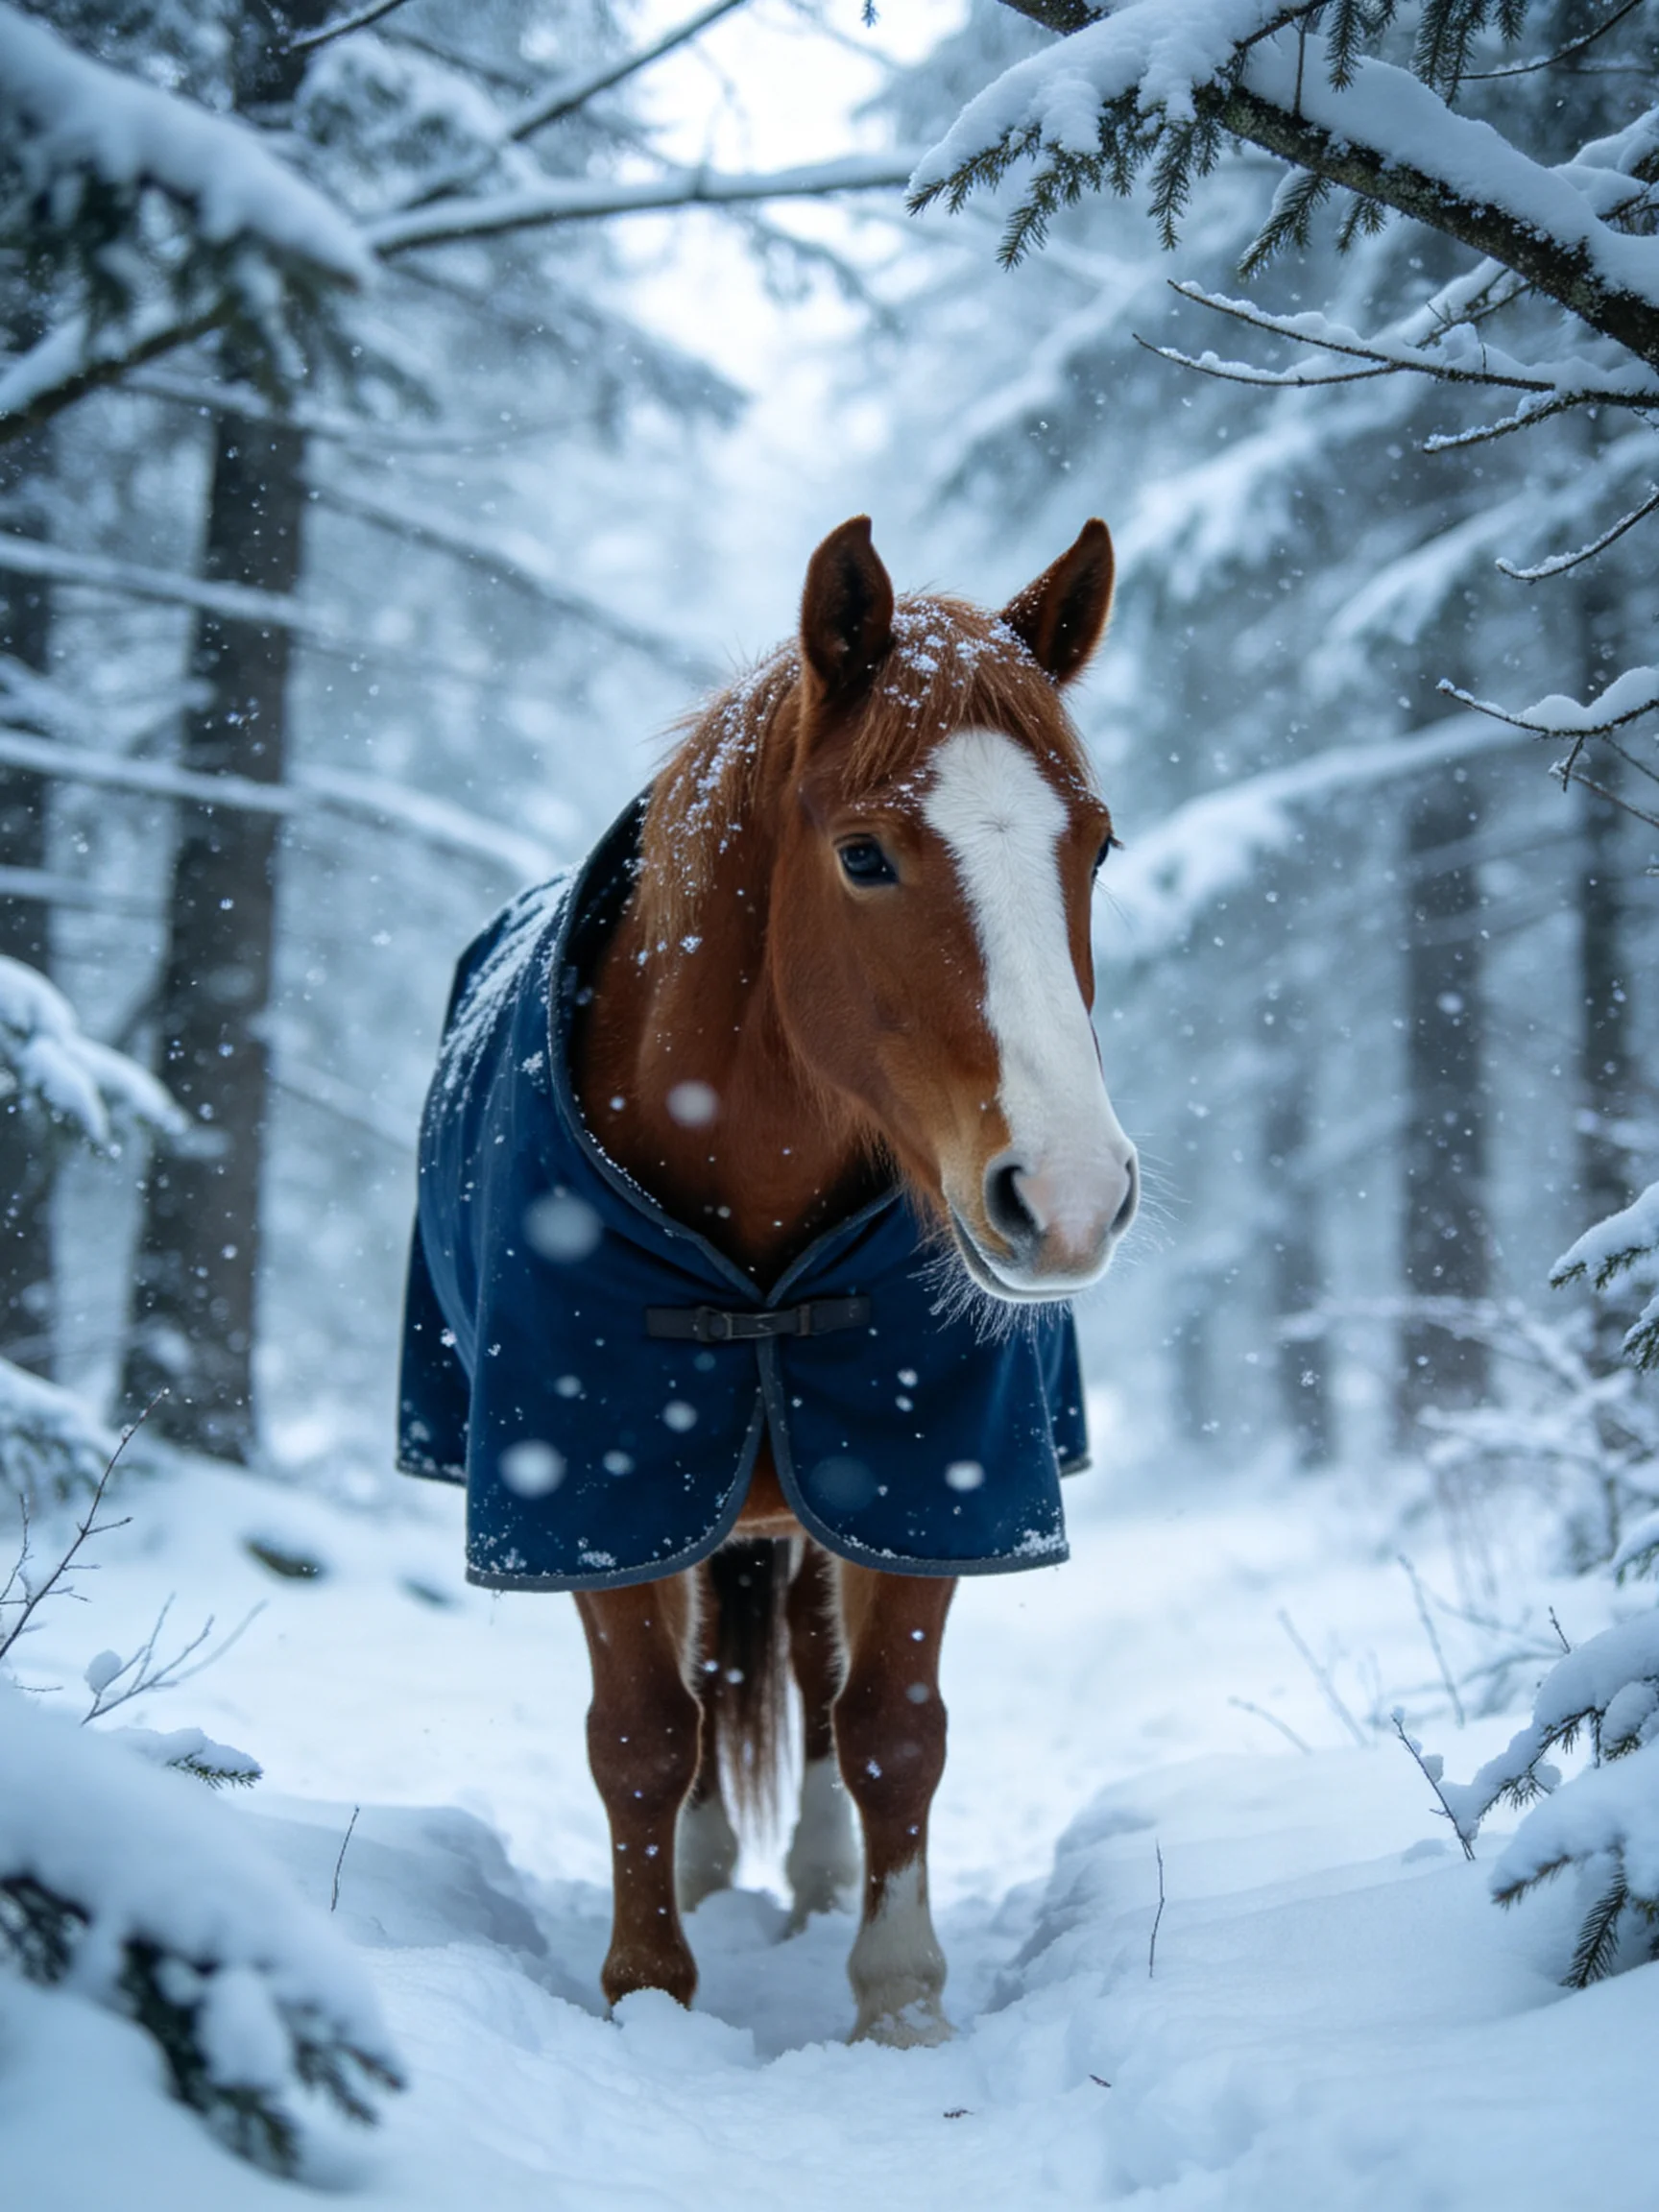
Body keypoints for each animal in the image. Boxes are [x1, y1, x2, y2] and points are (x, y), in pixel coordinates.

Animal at [399, 516, 1138, 2046]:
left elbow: (893, 1729)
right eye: (863, 856)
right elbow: (639, 1732)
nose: (1072, 1196)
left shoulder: (926, 1473)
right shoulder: (597, 1484)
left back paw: (806, 1874)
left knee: (799, 1662)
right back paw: (699, 1869)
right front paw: (648, 1993)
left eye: (1097, 845)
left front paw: (899, 2000)